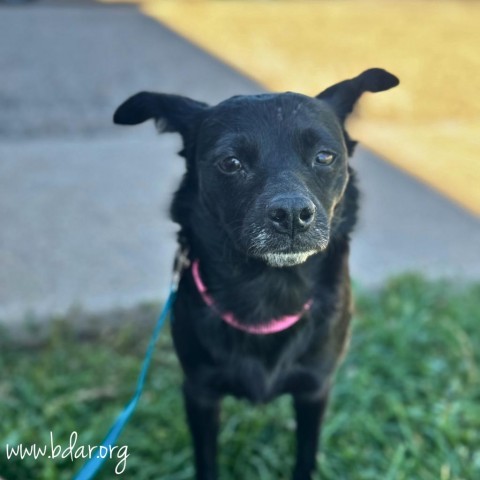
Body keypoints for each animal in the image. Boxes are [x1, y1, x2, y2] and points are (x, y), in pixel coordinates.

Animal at [113, 68, 398, 480]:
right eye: (230, 163)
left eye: (324, 156)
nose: (292, 214)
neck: (268, 287)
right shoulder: (199, 391)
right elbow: (206, 462)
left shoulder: (315, 389)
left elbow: (306, 456)